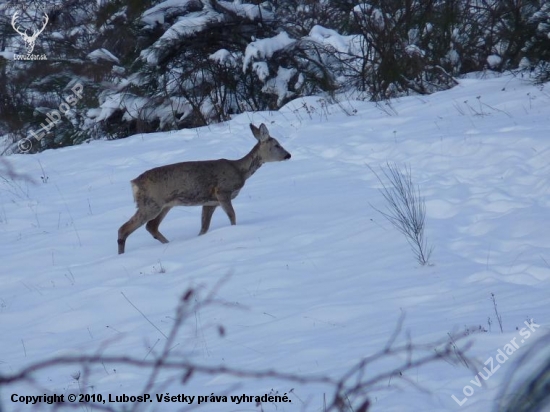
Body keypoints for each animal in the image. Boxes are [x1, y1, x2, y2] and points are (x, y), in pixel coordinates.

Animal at [117, 122, 294, 253]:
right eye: (277, 145)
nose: (289, 155)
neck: (240, 171)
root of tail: (134, 183)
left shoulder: (209, 202)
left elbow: (204, 227)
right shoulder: (222, 191)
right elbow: (232, 216)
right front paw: (235, 231)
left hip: (165, 205)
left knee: (151, 226)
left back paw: (169, 244)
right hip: (151, 203)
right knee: (123, 229)